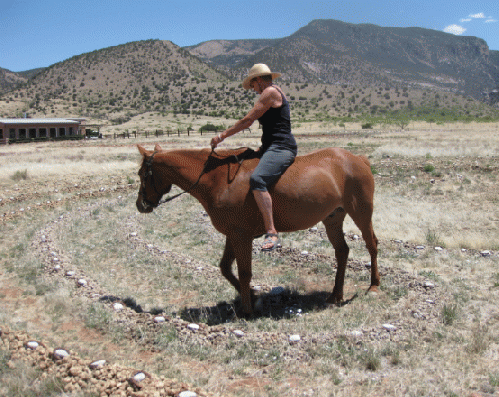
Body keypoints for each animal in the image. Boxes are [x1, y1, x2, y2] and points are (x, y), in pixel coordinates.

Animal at [137, 144, 378, 314]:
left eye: (141, 174)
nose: (140, 205)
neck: (216, 180)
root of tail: (358, 159)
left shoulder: (241, 236)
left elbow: (244, 272)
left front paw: (248, 309)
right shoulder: (233, 234)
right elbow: (225, 268)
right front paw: (253, 296)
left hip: (361, 213)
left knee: (371, 245)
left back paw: (373, 286)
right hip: (333, 219)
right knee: (342, 251)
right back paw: (336, 295)